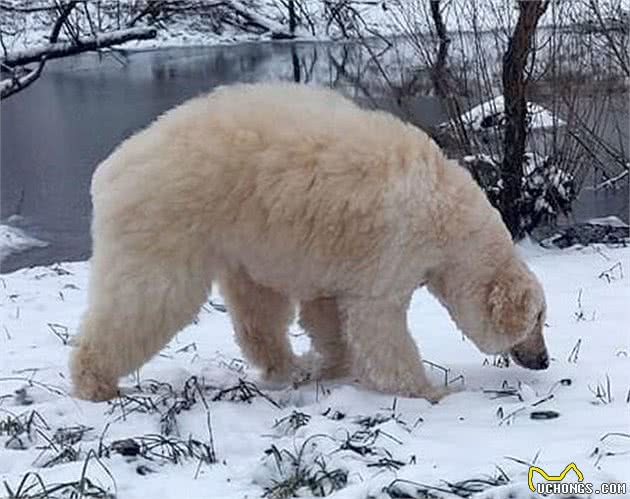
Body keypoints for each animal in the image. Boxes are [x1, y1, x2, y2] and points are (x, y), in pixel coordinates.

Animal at [71, 82, 552, 402]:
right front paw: (432, 390)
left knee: (258, 309)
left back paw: (289, 365)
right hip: (168, 220)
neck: (446, 211)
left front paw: (330, 365)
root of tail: (111, 168)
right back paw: (95, 382)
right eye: (538, 320)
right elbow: (379, 327)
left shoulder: (337, 260)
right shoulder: (395, 247)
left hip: (239, 234)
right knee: (147, 299)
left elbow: (327, 313)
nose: (544, 360)